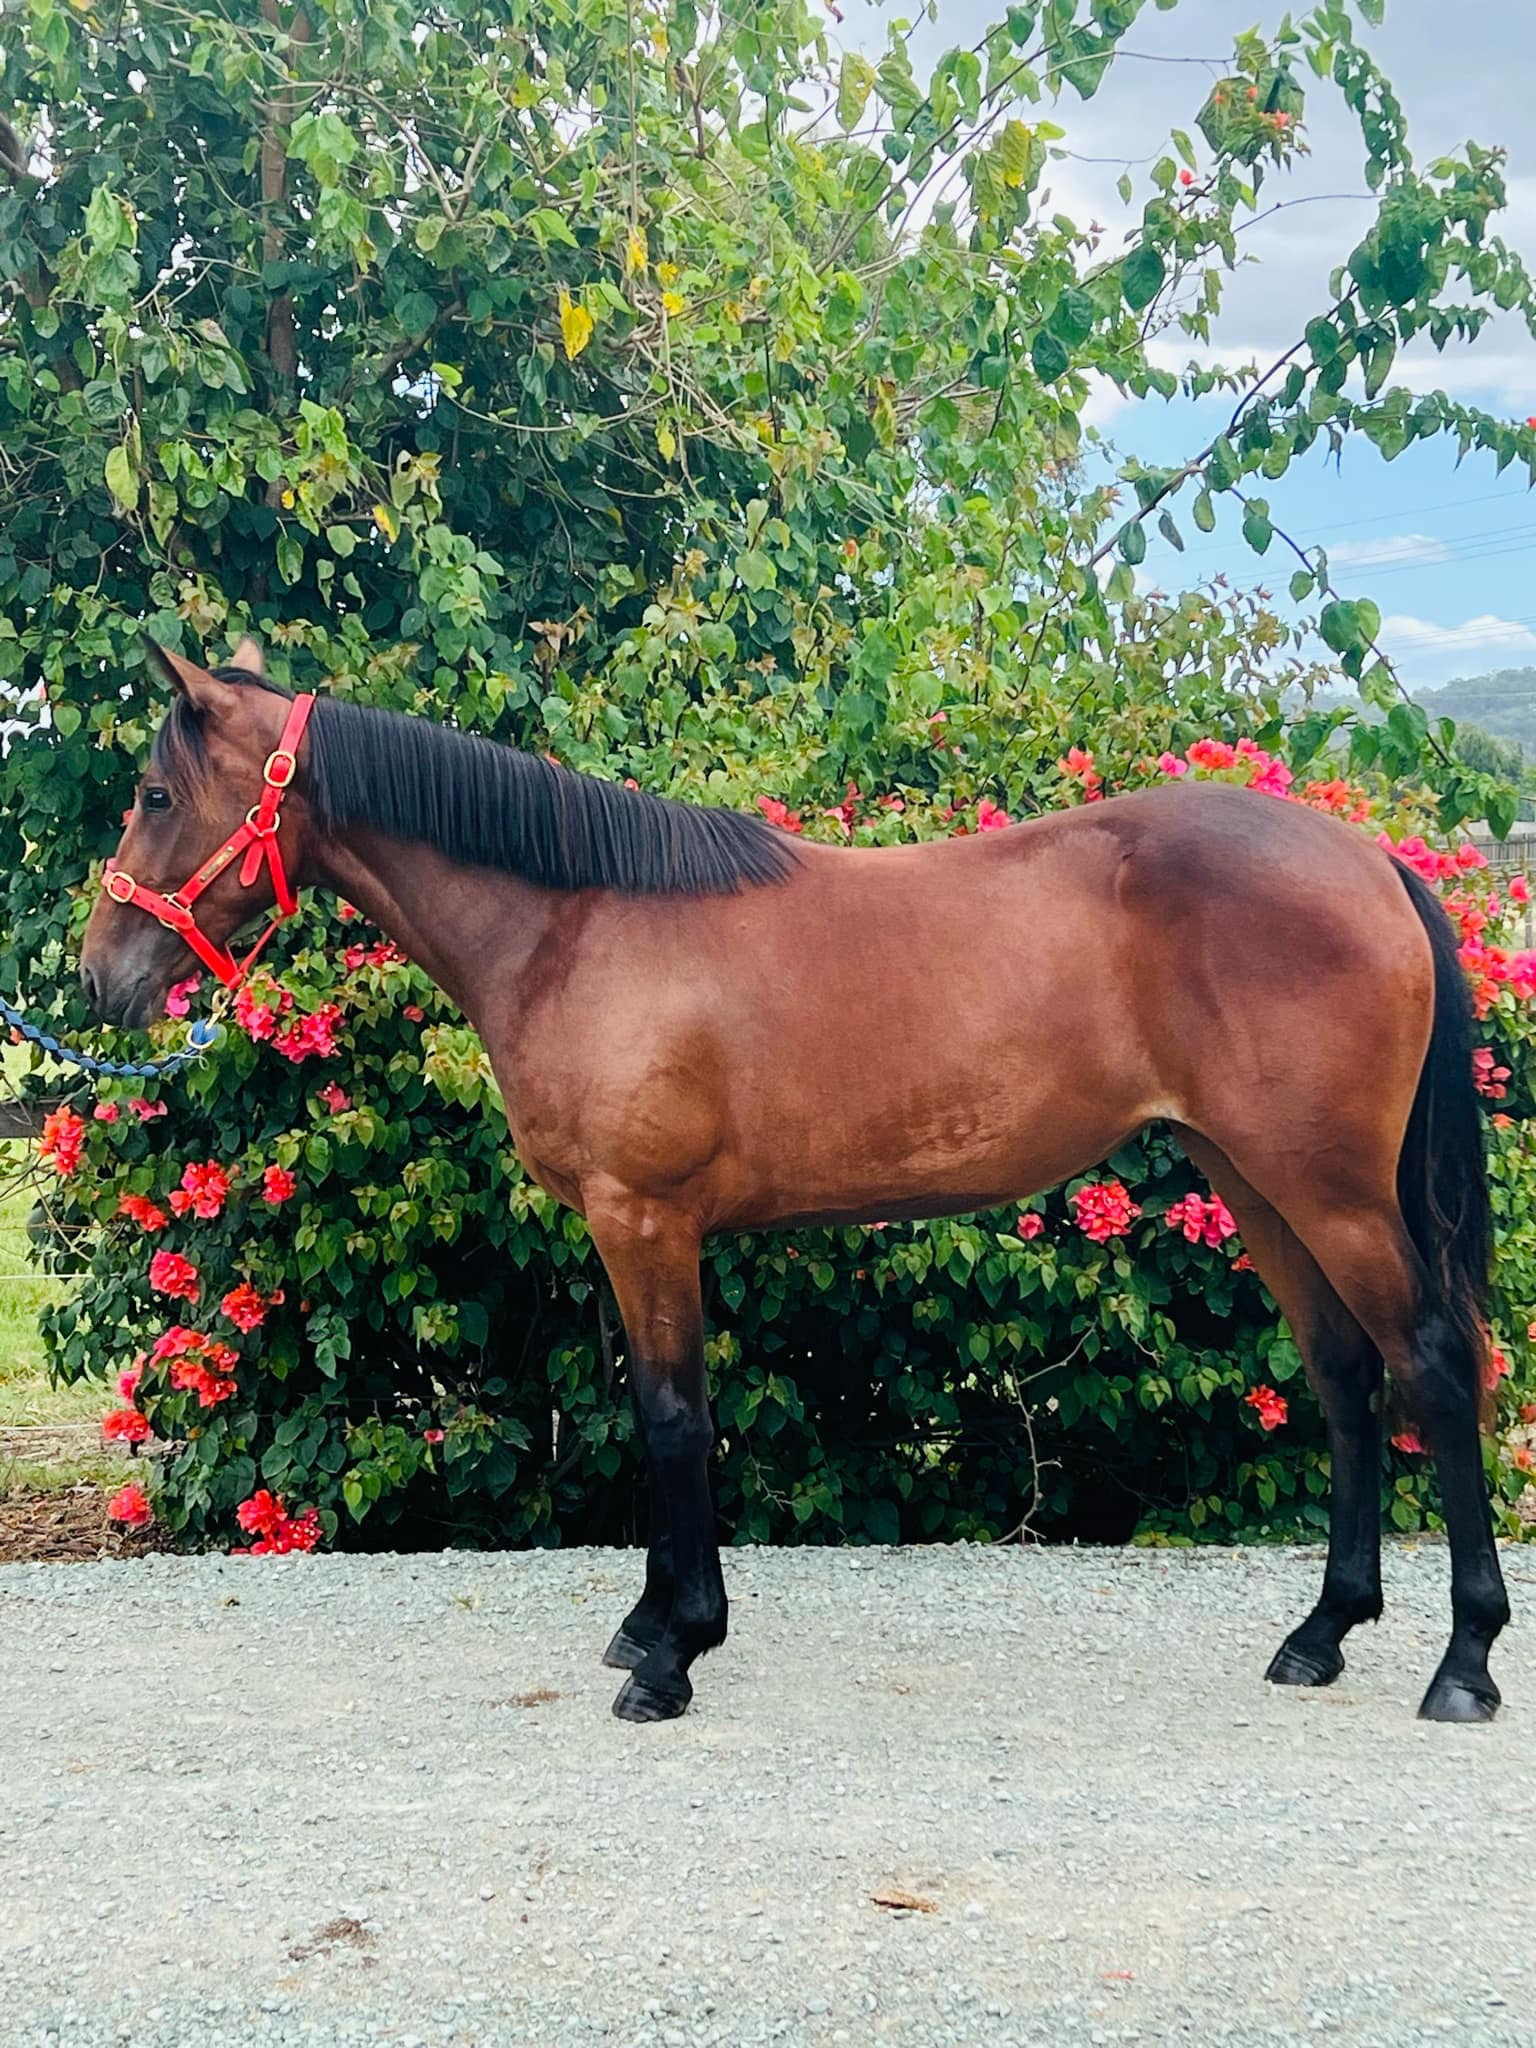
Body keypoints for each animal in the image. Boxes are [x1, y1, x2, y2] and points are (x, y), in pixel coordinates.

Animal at [79, 639, 1509, 1726]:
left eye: (151, 792)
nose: (101, 979)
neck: (573, 924)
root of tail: (1370, 861)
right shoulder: (637, 1230)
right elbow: (657, 1411)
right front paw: (649, 1620)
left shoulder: (646, 1217)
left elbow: (672, 1419)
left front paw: (672, 1654)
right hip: (1259, 1185)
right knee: (1345, 1376)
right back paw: (1322, 1632)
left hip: (1329, 1192)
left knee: (1435, 1367)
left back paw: (1463, 1662)